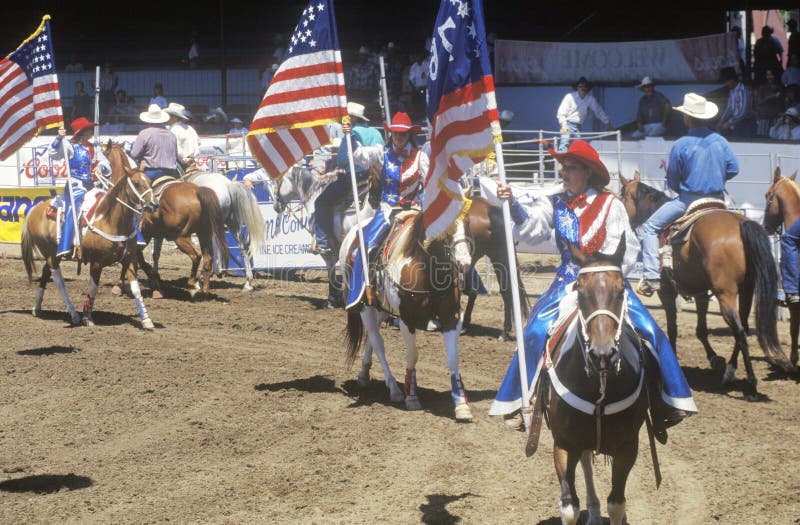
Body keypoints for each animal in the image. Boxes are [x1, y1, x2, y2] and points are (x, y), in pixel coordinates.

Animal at [340, 211, 476, 420]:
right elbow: (412, 355)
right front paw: (411, 396)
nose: (464, 262)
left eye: (467, 223)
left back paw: (364, 374)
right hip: (366, 308)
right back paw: (394, 389)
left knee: (373, 337)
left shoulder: (451, 318)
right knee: (377, 342)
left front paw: (461, 404)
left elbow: (453, 358)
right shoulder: (406, 319)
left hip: (381, 307)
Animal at [536, 239, 644, 524]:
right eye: (581, 291)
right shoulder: (563, 443)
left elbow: (617, 503)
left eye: (621, 290)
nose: (602, 354)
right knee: (585, 461)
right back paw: (593, 512)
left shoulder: (628, 446)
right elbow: (569, 507)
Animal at [620, 172, 792, 398]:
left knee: (739, 330)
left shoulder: (667, 290)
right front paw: (714, 358)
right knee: (744, 327)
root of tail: (739, 223)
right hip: (747, 289)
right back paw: (729, 371)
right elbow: (701, 328)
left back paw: (751, 383)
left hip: (725, 293)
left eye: (622, 196)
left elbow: (672, 328)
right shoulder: (700, 291)